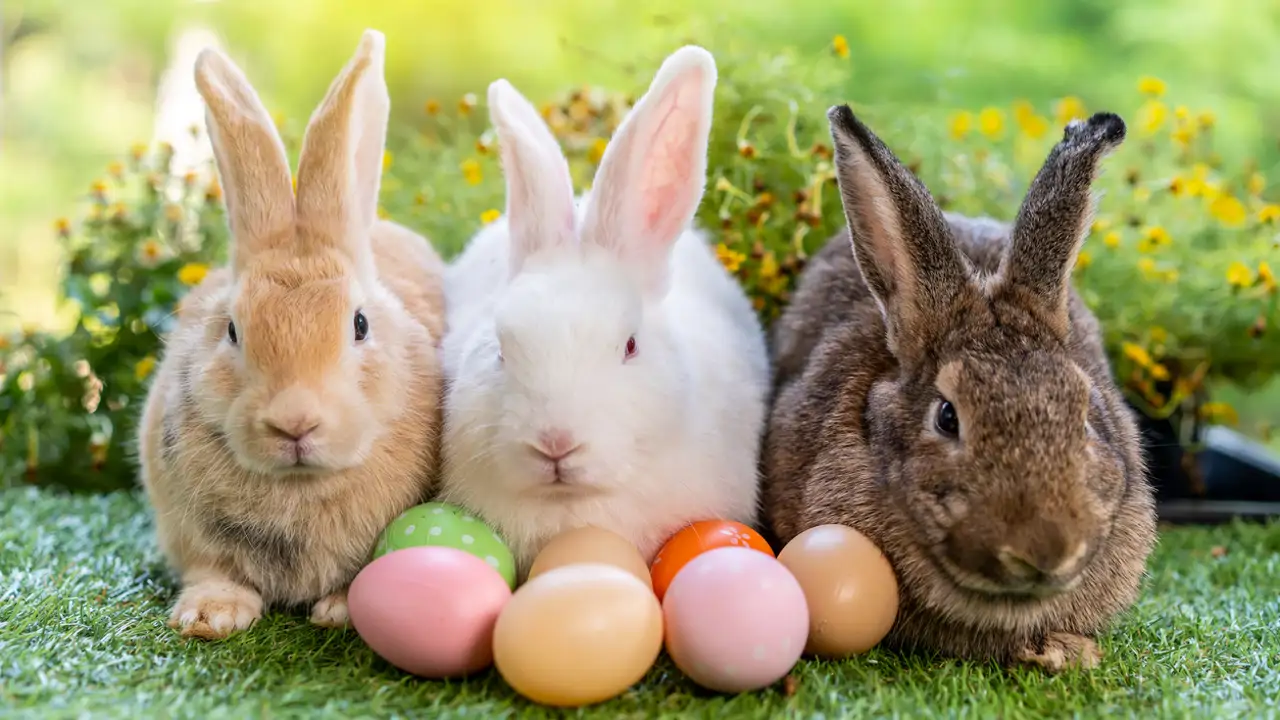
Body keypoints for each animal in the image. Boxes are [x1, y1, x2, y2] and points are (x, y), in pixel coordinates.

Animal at [137, 30, 446, 640]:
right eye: (232, 329)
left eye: (360, 324)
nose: (294, 423)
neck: (300, 485)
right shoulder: (189, 531)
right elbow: (213, 569)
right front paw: (209, 616)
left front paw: (342, 610)